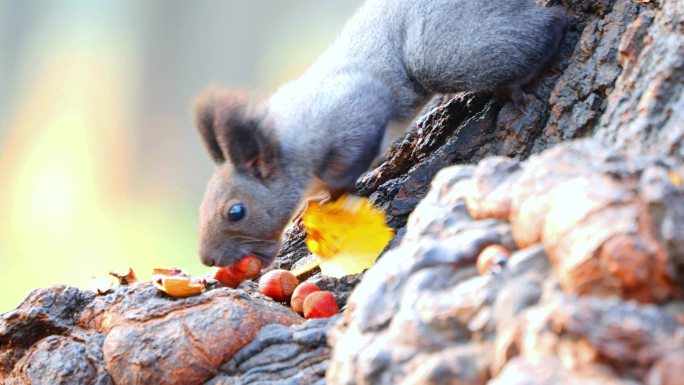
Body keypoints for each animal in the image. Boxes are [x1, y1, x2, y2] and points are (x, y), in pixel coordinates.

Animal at [192, 0, 568, 268]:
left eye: (236, 212)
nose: (208, 259)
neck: (287, 140)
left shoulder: (356, 110)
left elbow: (346, 169)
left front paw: (332, 195)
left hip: (441, 53)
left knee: (549, 25)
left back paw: (521, 77)